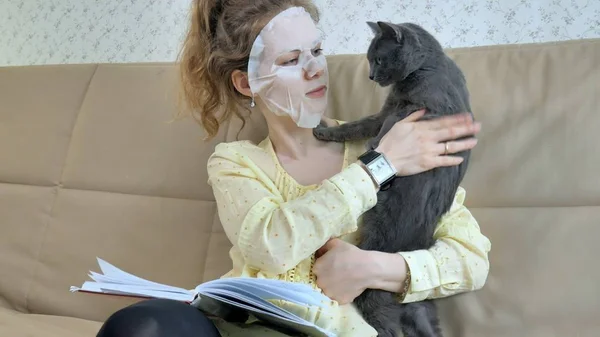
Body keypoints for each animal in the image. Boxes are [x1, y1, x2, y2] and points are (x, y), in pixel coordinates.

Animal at [314, 21, 474, 336]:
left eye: (378, 59)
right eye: (369, 59)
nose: (370, 76)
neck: (425, 67)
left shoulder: (425, 111)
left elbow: (383, 124)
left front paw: (368, 142)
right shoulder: (389, 107)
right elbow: (359, 124)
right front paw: (324, 129)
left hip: (373, 283)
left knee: (384, 321)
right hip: (421, 310)